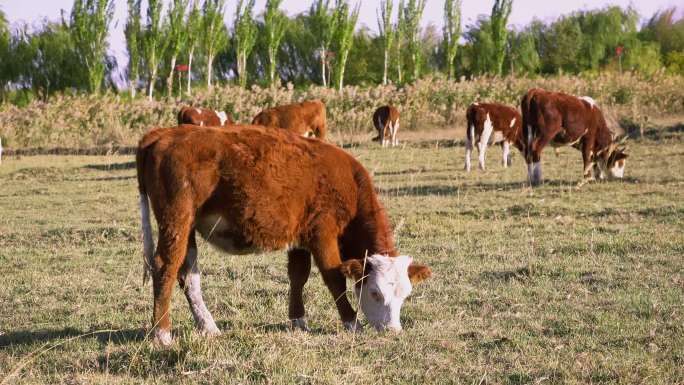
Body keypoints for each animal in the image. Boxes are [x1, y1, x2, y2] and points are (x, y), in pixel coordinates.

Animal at [136, 124, 430, 344]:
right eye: (375, 293)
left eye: (405, 295)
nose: (393, 331)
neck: (348, 184)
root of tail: (162, 134)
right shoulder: (322, 233)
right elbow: (334, 278)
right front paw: (351, 321)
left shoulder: (301, 236)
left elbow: (298, 276)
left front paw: (298, 320)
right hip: (176, 219)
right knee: (165, 267)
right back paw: (162, 334)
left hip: (187, 228)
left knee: (188, 275)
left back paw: (208, 327)